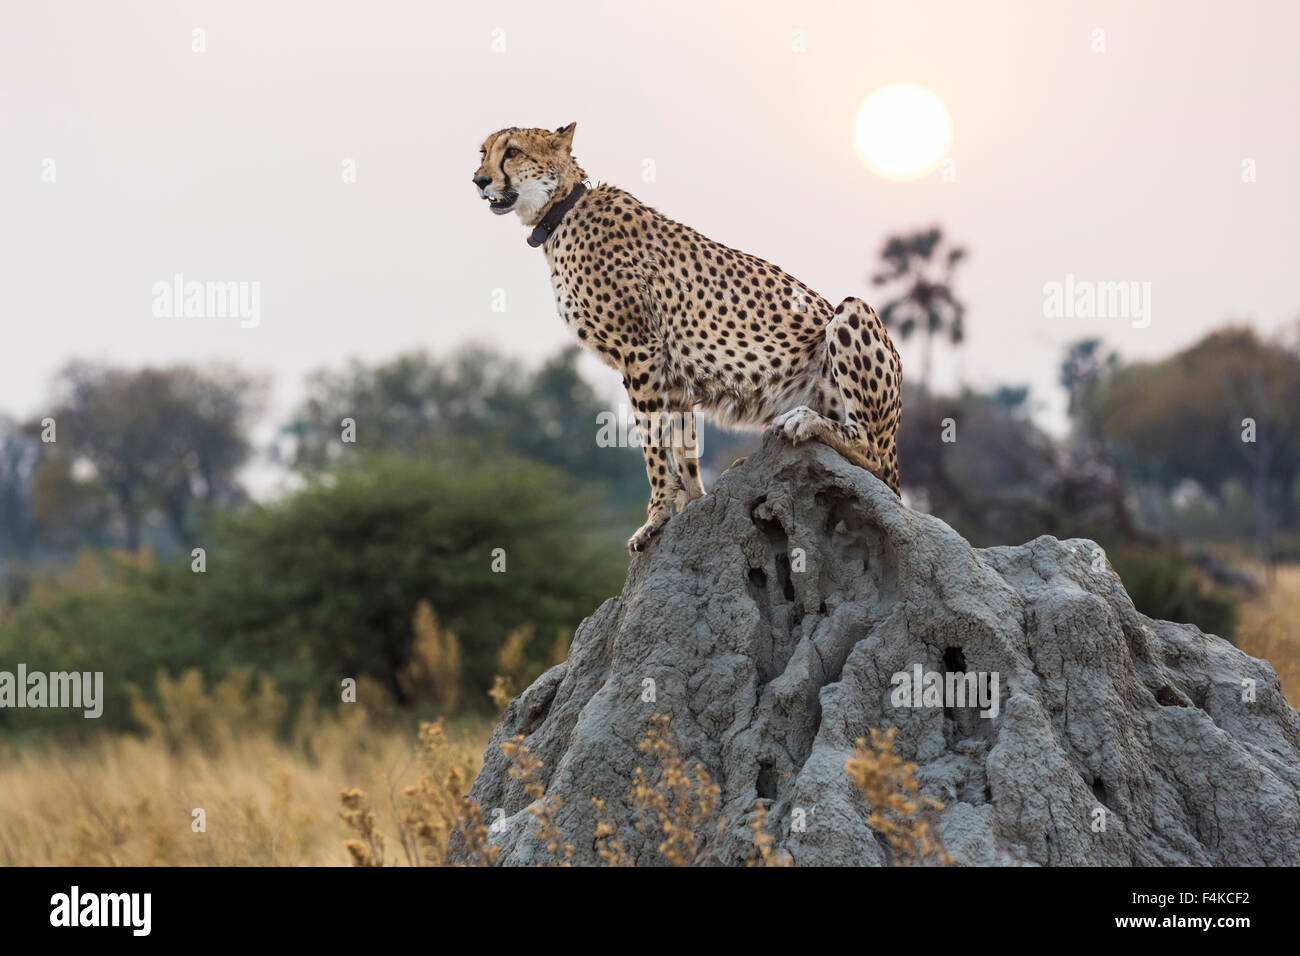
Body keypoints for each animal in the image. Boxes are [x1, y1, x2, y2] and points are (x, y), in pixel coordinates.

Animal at [473, 123, 899, 554]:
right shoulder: (672, 373)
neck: (559, 212)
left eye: (512, 152)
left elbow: (653, 445)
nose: (480, 180)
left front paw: (655, 519)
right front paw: (691, 508)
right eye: (484, 152)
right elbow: (683, 449)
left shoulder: (639, 350)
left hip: (853, 313)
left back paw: (805, 421)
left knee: (871, 451)